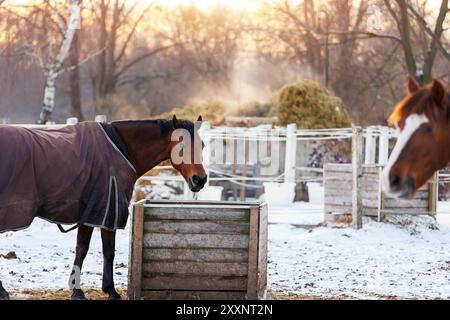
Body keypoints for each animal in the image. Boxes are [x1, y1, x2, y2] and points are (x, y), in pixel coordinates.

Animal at [0, 115, 207, 300]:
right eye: (181, 145)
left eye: (202, 145)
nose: (200, 180)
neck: (121, 148)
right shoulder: (105, 212)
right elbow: (104, 251)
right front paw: (106, 291)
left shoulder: (91, 214)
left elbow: (83, 249)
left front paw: (81, 290)